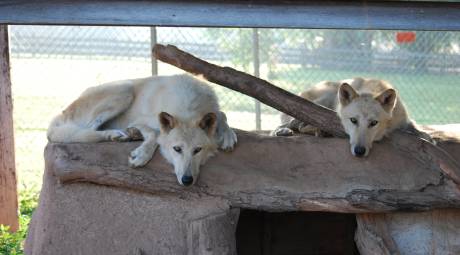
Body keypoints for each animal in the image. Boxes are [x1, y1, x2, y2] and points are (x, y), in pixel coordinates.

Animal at [47, 73, 237, 185]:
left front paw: (227, 135)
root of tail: (60, 114)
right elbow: (155, 133)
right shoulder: (141, 120)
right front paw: (141, 155)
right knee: (87, 130)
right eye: (177, 149)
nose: (187, 180)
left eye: (197, 150)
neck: (188, 108)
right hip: (125, 89)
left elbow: (222, 114)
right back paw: (117, 135)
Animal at [274, 77, 432, 157]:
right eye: (353, 120)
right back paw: (283, 131)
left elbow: (415, 128)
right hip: (322, 101)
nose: (359, 151)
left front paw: (426, 137)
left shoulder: (403, 121)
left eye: (374, 123)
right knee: (294, 124)